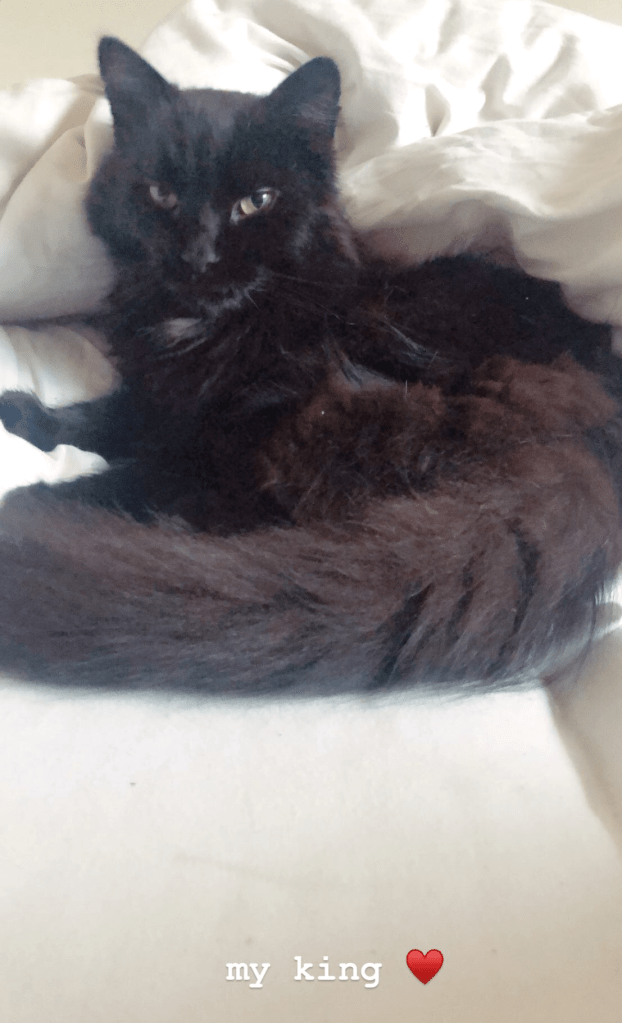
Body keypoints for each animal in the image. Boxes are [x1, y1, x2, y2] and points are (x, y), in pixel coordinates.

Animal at [0, 35, 621, 694]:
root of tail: (587, 453)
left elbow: (138, 469)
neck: (209, 328)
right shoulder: (168, 400)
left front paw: (36, 496)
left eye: (256, 202)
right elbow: (103, 416)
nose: (198, 256)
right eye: (160, 194)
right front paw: (28, 416)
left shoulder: (223, 443)